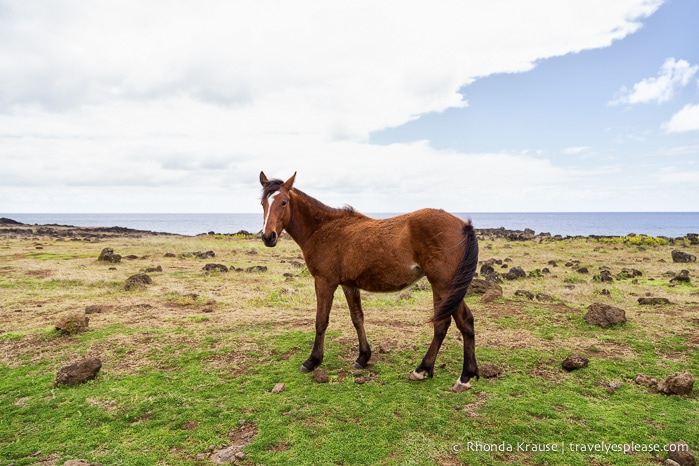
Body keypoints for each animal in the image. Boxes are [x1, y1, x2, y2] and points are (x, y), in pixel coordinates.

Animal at [260, 169, 478, 392]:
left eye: (284, 202)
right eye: (263, 203)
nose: (268, 237)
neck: (322, 230)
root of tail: (463, 225)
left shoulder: (324, 282)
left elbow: (321, 321)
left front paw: (313, 361)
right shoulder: (349, 285)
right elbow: (357, 318)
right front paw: (363, 357)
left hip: (445, 285)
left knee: (464, 321)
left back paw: (463, 378)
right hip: (440, 287)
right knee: (442, 325)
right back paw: (423, 369)